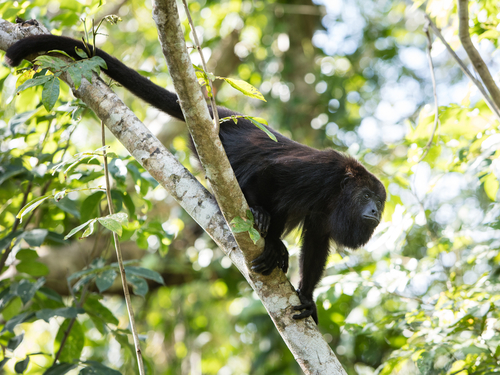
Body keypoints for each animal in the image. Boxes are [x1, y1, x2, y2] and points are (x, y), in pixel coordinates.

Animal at [4, 33, 386, 324]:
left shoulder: (326, 208)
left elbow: (318, 241)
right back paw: (266, 231)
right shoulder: (321, 173)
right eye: (367, 196)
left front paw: (306, 295)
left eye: (380, 203)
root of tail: (223, 117)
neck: (338, 190)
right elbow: (270, 172)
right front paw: (265, 225)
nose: (375, 213)